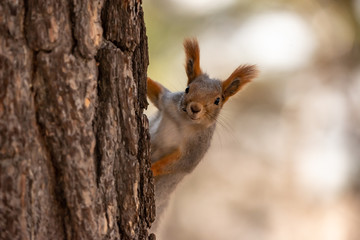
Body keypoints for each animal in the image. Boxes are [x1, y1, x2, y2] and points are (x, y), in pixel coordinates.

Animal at [146, 38, 258, 229]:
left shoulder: (196, 148)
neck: (184, 121)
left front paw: (152, 168)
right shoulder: (167, 102)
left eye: (217, 100)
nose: (195, 108)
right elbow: (155, 91)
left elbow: (181, 162)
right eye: (187, 89)